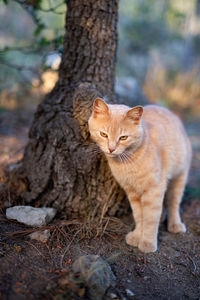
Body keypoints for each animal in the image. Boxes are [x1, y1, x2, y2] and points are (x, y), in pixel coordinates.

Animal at [88, 98, 191, 253]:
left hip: (179, 176)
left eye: (123, 137)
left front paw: (147, 242)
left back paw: (175, 225)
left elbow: (150, 218)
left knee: (173, 203)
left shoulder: (154, 191)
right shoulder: (132, 192)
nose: (111, 149)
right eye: (104, 134)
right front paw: (137, 236)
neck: (127, 162)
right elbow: (139, 215)